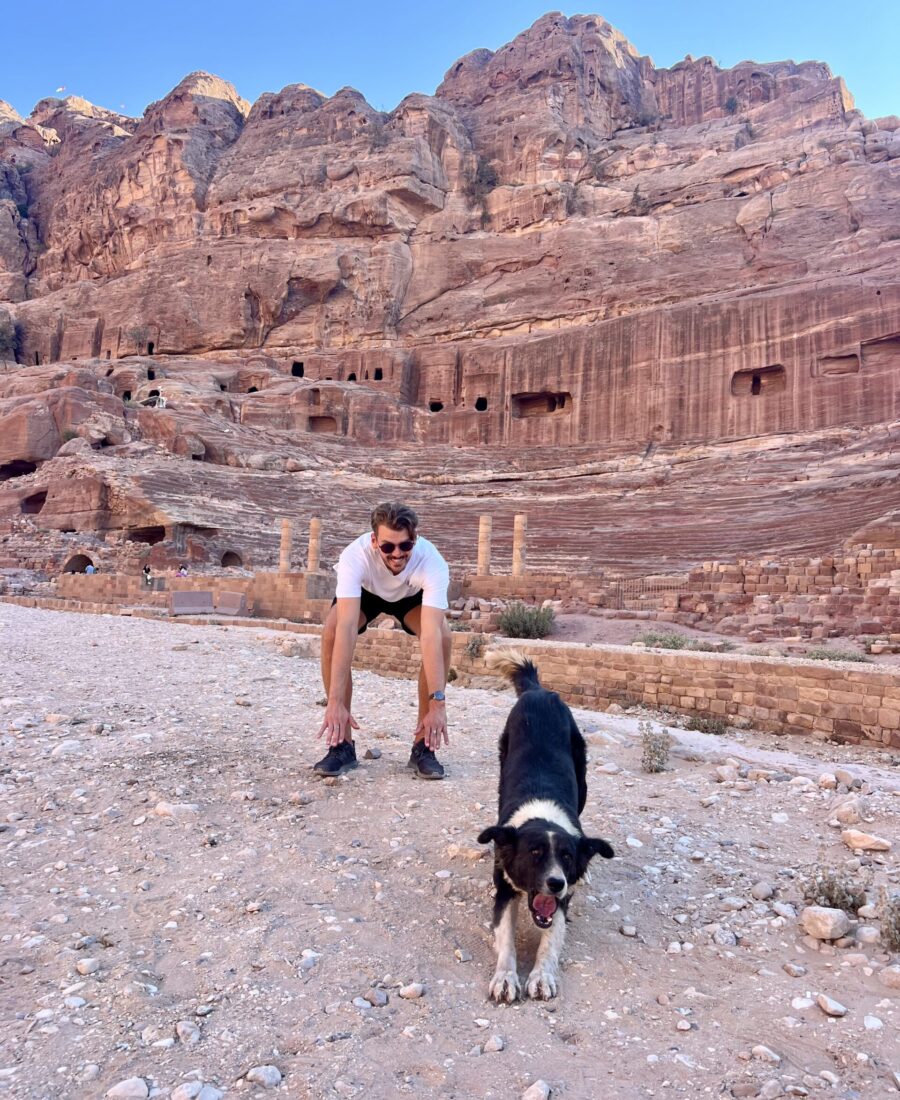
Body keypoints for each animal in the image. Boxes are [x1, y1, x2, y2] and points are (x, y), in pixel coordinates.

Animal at [477, 646, 611, 1003]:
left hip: (582, 776)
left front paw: (541, 976)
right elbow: (506, 941)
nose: (556, 882)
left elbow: (551, 940)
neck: (542, 812)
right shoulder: (504, 889)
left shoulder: (561, 902)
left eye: (566, 856)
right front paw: (505, 977)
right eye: (534, 853)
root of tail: (539, 692)